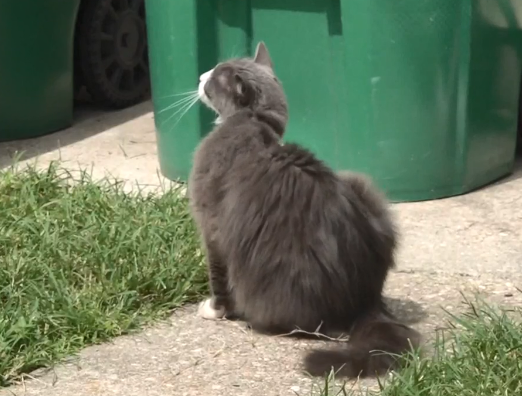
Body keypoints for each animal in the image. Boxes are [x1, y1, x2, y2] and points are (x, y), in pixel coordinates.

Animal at [187, 41, 418, 378]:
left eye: (215, 78)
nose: (201, 75)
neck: (253, 120)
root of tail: (364, 300)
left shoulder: (212, 225)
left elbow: (217, 274)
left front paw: (213, 310)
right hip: (362, 187)